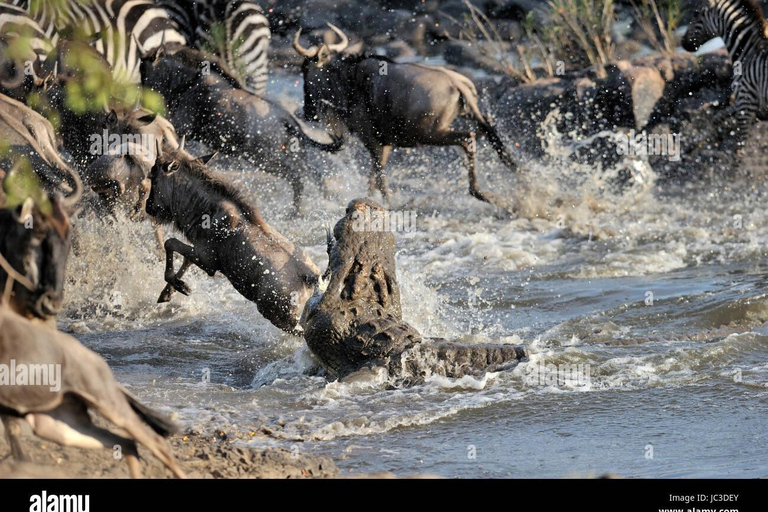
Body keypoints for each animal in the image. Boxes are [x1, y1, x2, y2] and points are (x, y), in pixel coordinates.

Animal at [680, 0, 768, 147]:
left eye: (695, 14)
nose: (683, 43)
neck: (748, 53)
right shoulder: (746, 102)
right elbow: (719, 116)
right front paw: (714, 136)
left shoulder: (746, 102)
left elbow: (741, 142)